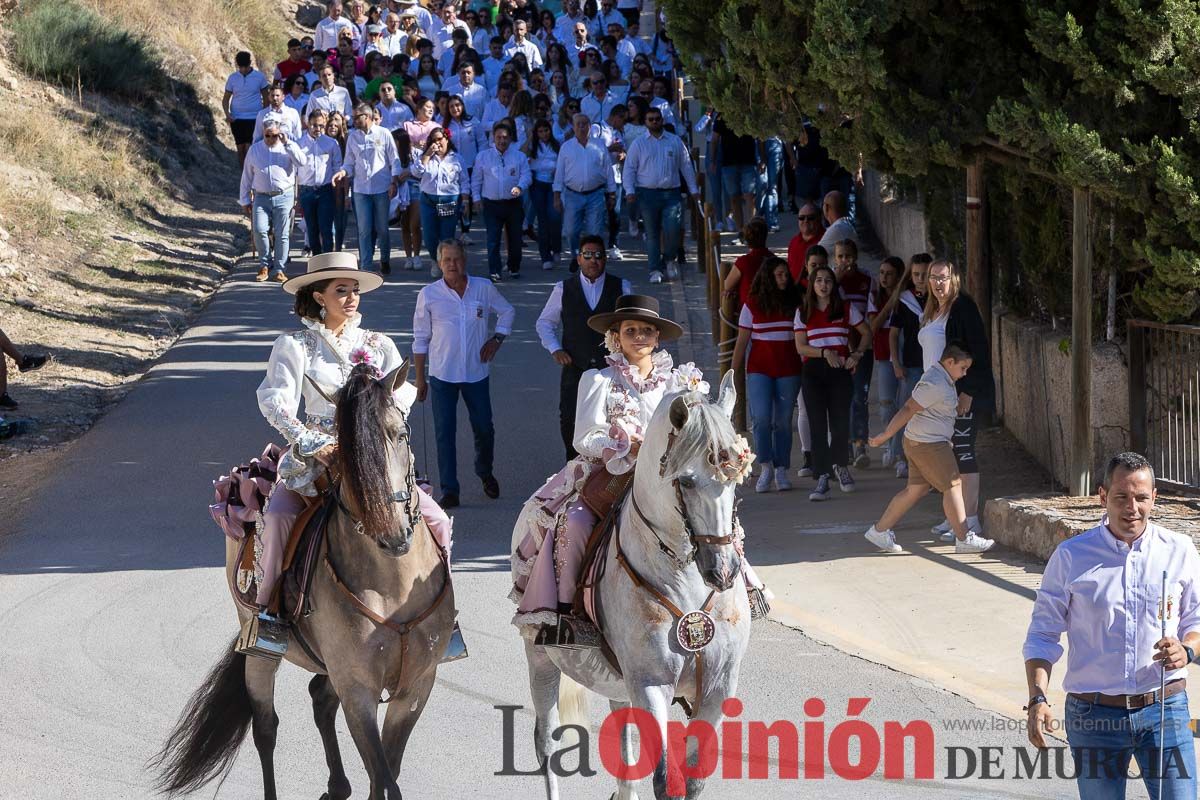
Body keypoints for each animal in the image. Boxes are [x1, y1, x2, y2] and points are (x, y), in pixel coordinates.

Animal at [150, 367, 451, 800]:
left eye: (400, 433)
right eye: (347, 449)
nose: (394, 536)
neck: (393, 587)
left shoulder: (415, 688)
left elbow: (386, 772)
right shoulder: (357, 689)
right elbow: (382, 776)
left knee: (320, 701)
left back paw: (337, 786)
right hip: (259, 650)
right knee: (266, 727)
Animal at [513, 371, 748, 800]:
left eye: (735, 481)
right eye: (686, 482)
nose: (723, 571)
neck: (683, 578)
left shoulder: (718, 687)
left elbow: (694, 779)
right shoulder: (650, 683)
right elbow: (664, 779)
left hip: (619, 684)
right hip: (539, 655)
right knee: (546, 742)